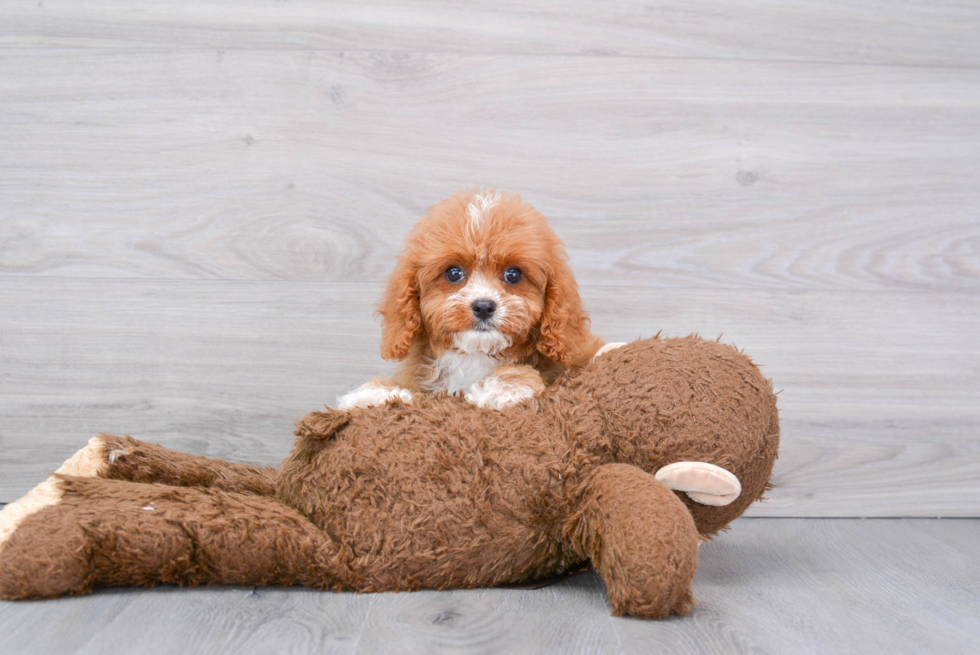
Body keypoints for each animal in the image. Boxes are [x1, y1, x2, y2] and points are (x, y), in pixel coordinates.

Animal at [340, 188, 608, 410]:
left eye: (513, 275)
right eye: (453, 273)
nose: (483, 306)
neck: (476, 355)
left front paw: (504, 387)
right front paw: (376, 393)